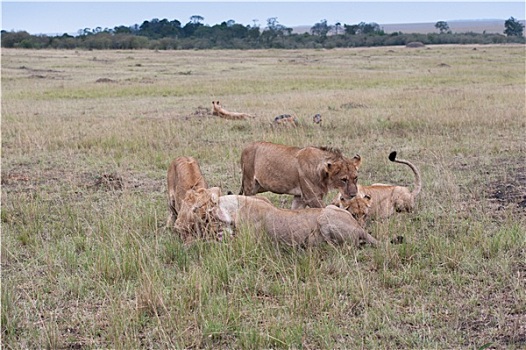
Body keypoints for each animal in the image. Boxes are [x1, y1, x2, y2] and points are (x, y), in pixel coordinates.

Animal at [211, 193, 380, 247]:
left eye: (214, 204)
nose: (210, 211)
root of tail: (359, 227)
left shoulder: (248, 242)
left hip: (323, 216)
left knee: (340, 246)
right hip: (331, 208)